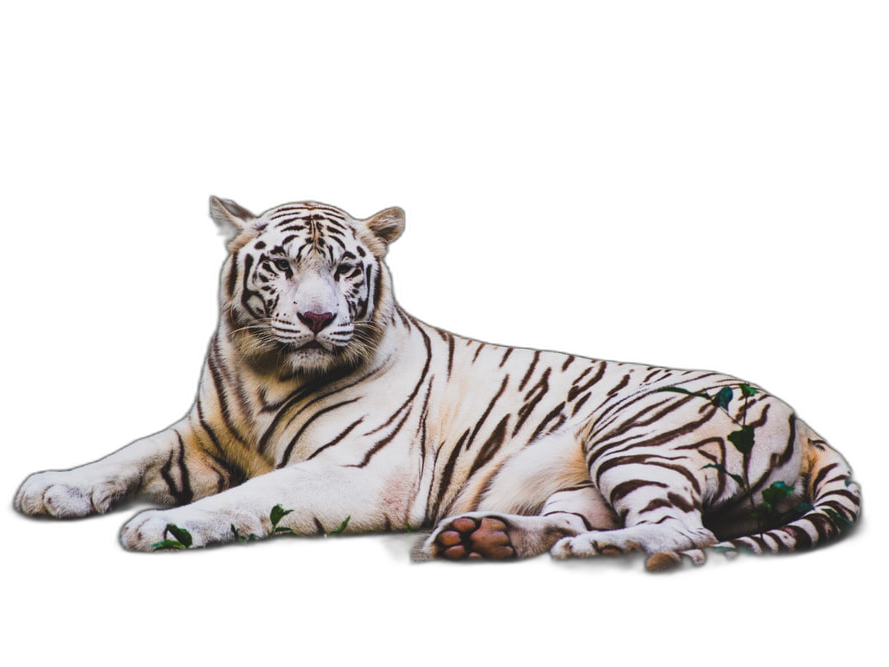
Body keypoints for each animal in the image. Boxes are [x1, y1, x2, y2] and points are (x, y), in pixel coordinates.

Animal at [14, 197, 862, 573]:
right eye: (282, 265)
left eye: (344, 269)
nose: (317, 318)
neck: (267, 371)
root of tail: (805, 422)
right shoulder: (197, 435)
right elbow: (125, 454)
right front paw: (50, 486)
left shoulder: (359, 472)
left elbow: (251, 496)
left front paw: (162, 526)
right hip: (581, 473)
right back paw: (473, 538)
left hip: (634, 431)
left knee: (683, 529)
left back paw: (596, 549)